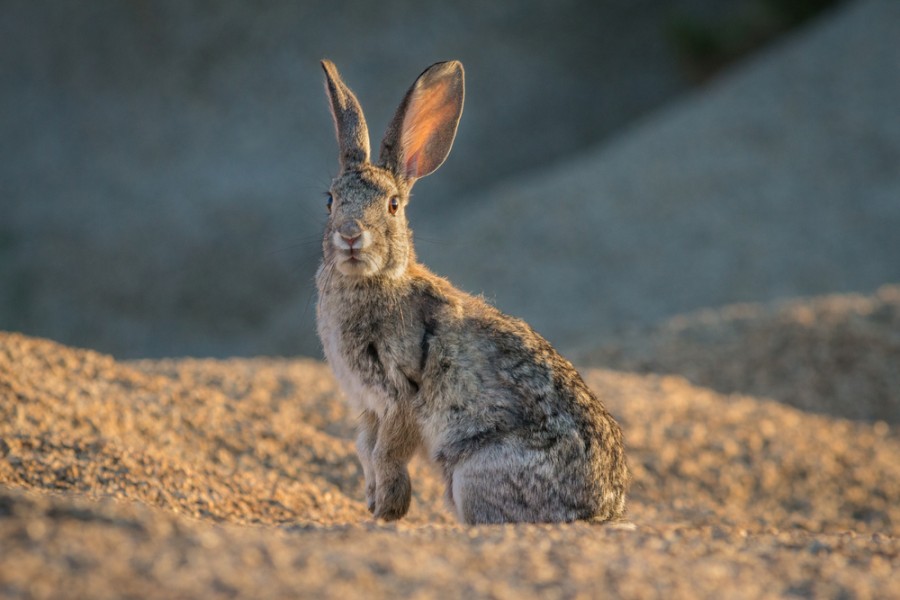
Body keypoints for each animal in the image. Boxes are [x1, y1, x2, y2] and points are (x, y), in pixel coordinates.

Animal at [316, 58, 624, 524]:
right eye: (330, 200)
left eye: (392, 205)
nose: (351, 236)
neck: (375, 279)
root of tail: (602, 516)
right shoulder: (367, 404)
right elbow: (364, 450)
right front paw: (372, 506)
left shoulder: (400, 395)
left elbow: (386, 455)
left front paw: (387, 512)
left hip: (474, 476)